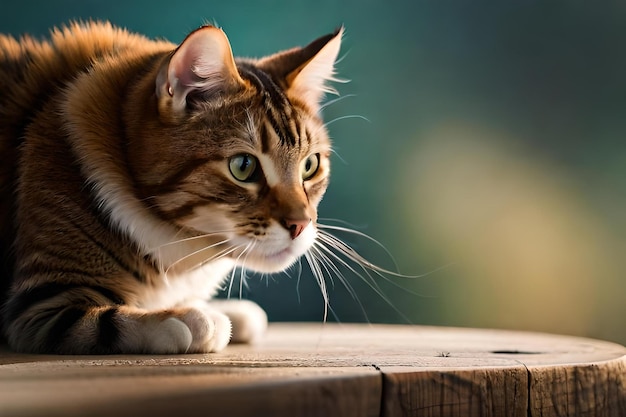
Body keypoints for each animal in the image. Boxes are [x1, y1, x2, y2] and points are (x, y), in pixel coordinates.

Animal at [0, 21, 346, 352]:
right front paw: (192, 319)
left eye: (310, 166)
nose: (300, 225)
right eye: (243, 167)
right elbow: (113, 322)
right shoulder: (40, 305)